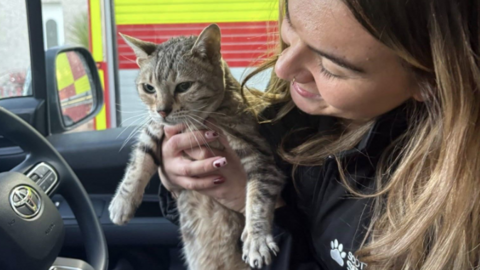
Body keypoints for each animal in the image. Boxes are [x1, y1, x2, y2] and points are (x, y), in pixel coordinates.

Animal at [109, 24, 284, 268]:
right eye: (149, 88)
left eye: (183, 86)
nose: (162, 110)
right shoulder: (154, 127)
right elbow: (140, 160)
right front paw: (122, 201)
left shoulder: (260, 156)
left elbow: (258, 197)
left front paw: (256, 239)